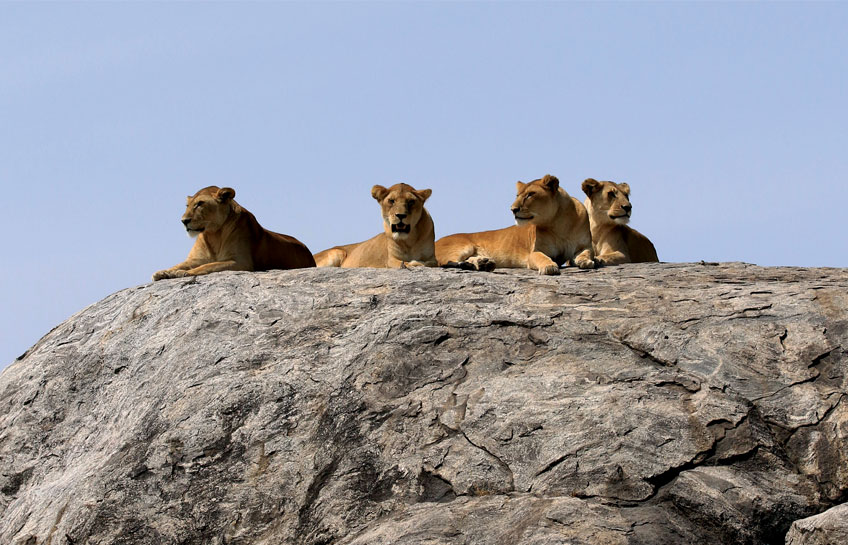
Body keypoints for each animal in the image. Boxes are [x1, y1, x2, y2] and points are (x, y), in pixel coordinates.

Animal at [152, 187, 314, 280]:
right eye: (188, 205)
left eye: (200, 204)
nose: (184, 221)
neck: (212, 234)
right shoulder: (195, 259)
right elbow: (178, 265)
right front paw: (163, 272)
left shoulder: (241, 262)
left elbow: (207, 266)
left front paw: (183, 273)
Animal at [434, 174, 592, 274]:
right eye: (517, 196)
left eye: (530, 194)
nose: (513, 209)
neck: (559, 224)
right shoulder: (534, 252)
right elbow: (542, 257)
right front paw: (549, 267)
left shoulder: (584, 245)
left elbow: (586, 253)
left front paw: (585, 261)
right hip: (463, 246)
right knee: (444, 262)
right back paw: (469, 265)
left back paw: (484, 264)